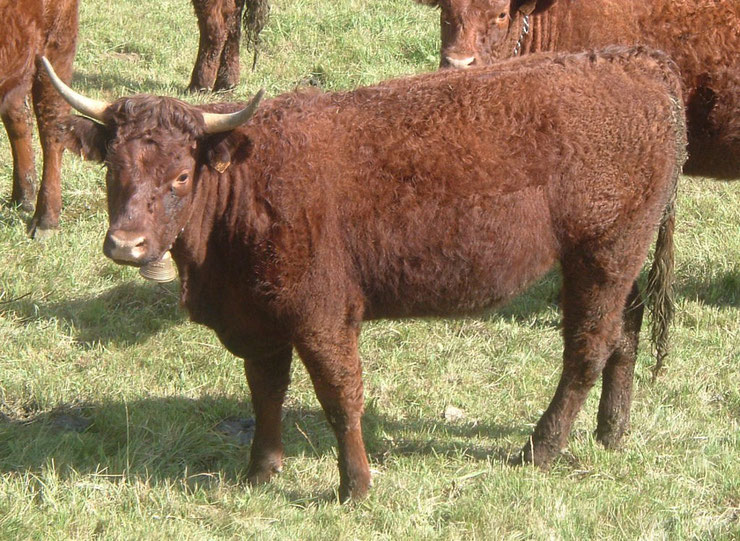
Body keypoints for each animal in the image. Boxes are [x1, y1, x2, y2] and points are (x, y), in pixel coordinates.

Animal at [43, 47, 684, 502]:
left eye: (181, 175)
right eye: (113, 168)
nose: (126, 245)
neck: (249, 184)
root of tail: (635, 59)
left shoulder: (322, 316)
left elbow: (339, 396)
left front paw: (355, 486)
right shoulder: (259, 319)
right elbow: (265, 391)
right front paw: (261, 472)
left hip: (602, 255)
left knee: (587, 348)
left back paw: (540, 448)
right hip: (617, 262)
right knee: (623, 337)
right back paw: (610, 432)